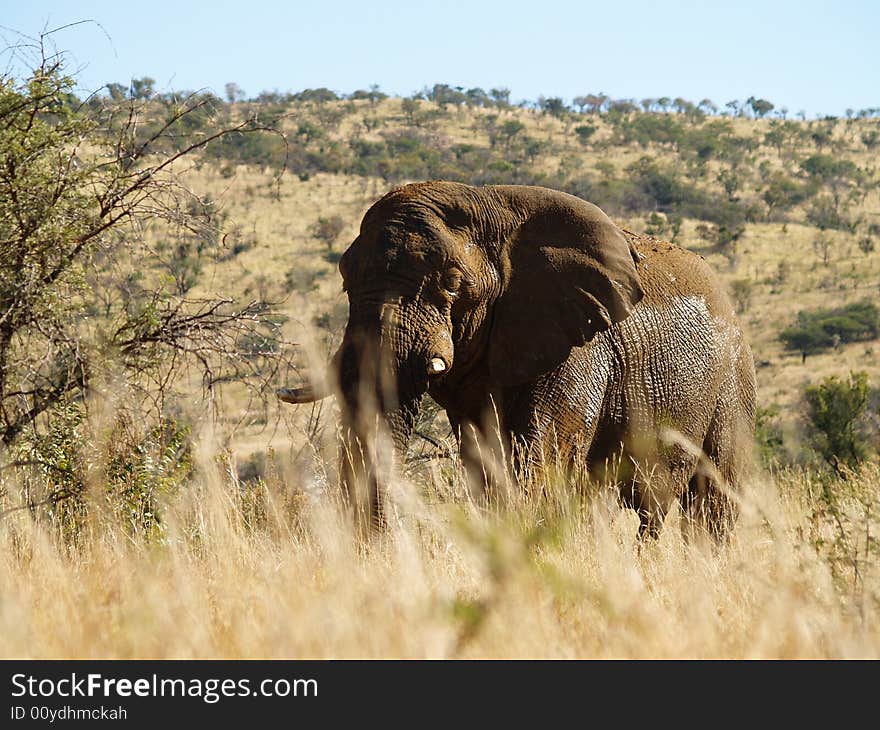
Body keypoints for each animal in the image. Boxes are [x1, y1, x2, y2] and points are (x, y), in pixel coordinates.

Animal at [280, 181, 756, 536]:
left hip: (733, 378)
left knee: (712, 499)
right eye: (345, 282)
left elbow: (540, 454)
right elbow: (484, 458)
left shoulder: (579, 348)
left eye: (452, 283)